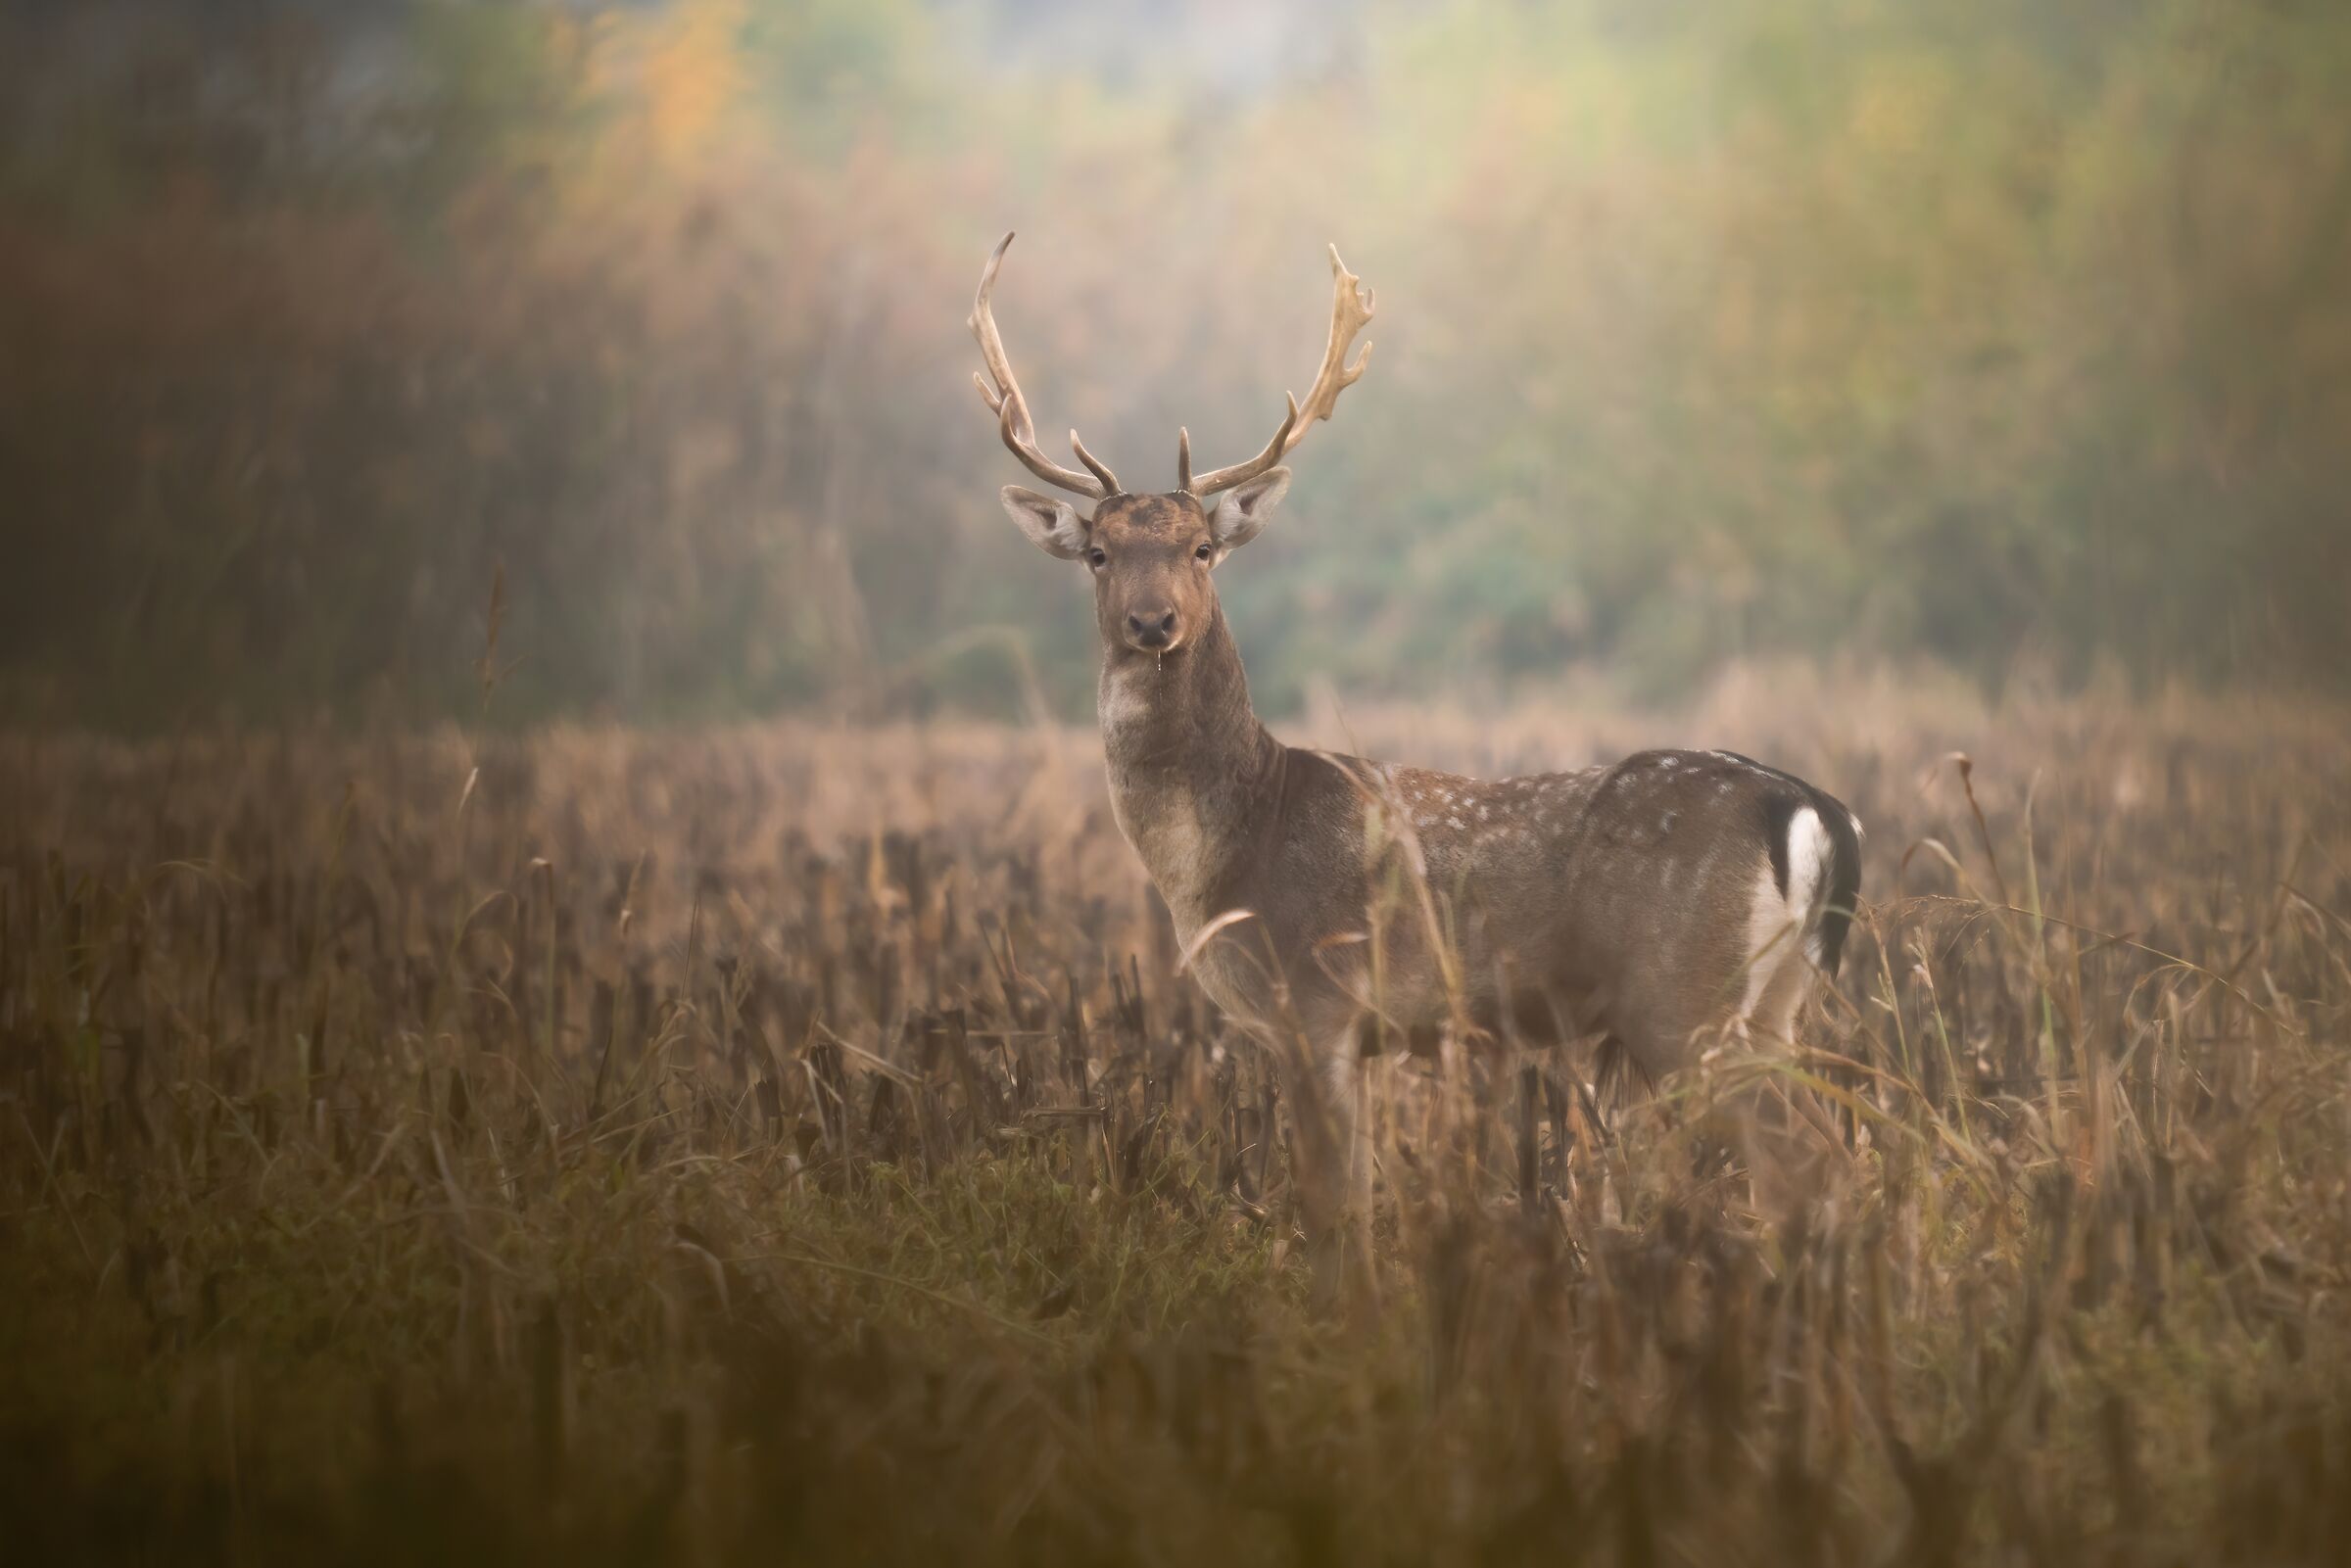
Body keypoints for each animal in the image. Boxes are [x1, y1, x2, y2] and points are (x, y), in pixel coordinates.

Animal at [968, 233, 1863, 1305]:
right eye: (1098, 552)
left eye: (1201, 547)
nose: (1154, 622)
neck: (1224, 853)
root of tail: (1810, 807)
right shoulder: (1350, 1033)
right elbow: (1350, 1203)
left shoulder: (1313, 1003)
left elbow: (1331, 1212)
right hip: (1774, 1004)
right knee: (1822, 1157)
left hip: (1683, 1002)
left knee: (1809, 1162)